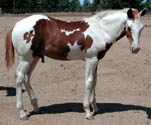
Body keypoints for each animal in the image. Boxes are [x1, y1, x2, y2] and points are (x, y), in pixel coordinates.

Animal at [5, 8, 146, 119]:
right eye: (129, 27)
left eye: (142, 28)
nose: (136, 49)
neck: (101, 30)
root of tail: (16, 24)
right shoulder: (91, 59)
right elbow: (89, 82)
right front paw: (88, 112)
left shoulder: (96, 60)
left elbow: (95, 82)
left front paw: (95, 108)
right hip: (26, 58)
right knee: (19, 77)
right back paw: (22, 113)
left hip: (34, 58)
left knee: (27, 77)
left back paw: (36, 107)